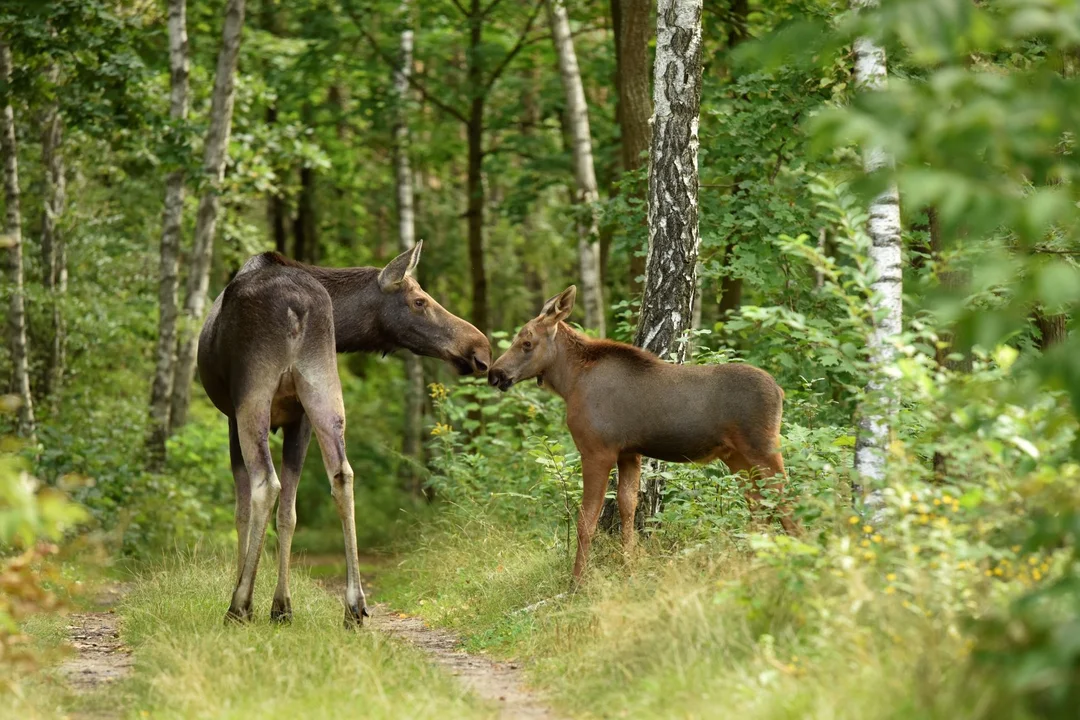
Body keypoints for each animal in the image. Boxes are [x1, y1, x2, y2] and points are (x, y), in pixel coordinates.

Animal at [198, 243, 490, 626]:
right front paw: (282, 605)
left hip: (253, 395)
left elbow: (243, 511)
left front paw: (252, 595)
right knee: (342, 474)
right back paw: (354, 604)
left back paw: (239, 605)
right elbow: (289, 514)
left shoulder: (233, 415)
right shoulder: (299, 420)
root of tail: (297, 308)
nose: (481, 348)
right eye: (419, 301)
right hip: (323, 388)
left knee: (266, 483)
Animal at [486, 284, 799, 582]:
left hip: (762, 447)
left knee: (787, 500)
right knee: (760, 503)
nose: (494, 374)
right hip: (736, 457)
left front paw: (577, 582)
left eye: (527, 343)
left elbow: (586, 519)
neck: (570, 383)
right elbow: (628, 507)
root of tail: (780, 391)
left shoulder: (597, 450)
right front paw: (629, 566)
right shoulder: (629, 453)